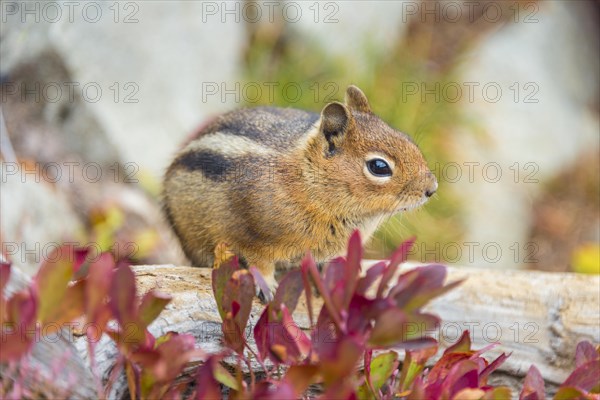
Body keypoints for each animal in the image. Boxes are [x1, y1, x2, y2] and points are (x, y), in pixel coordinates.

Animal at [163, 84, 436, 296]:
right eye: (379, 166)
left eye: (408, 139)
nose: (432, 188)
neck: (308, 182)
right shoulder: (253, 237)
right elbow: (259, 261)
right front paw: (267, 285)